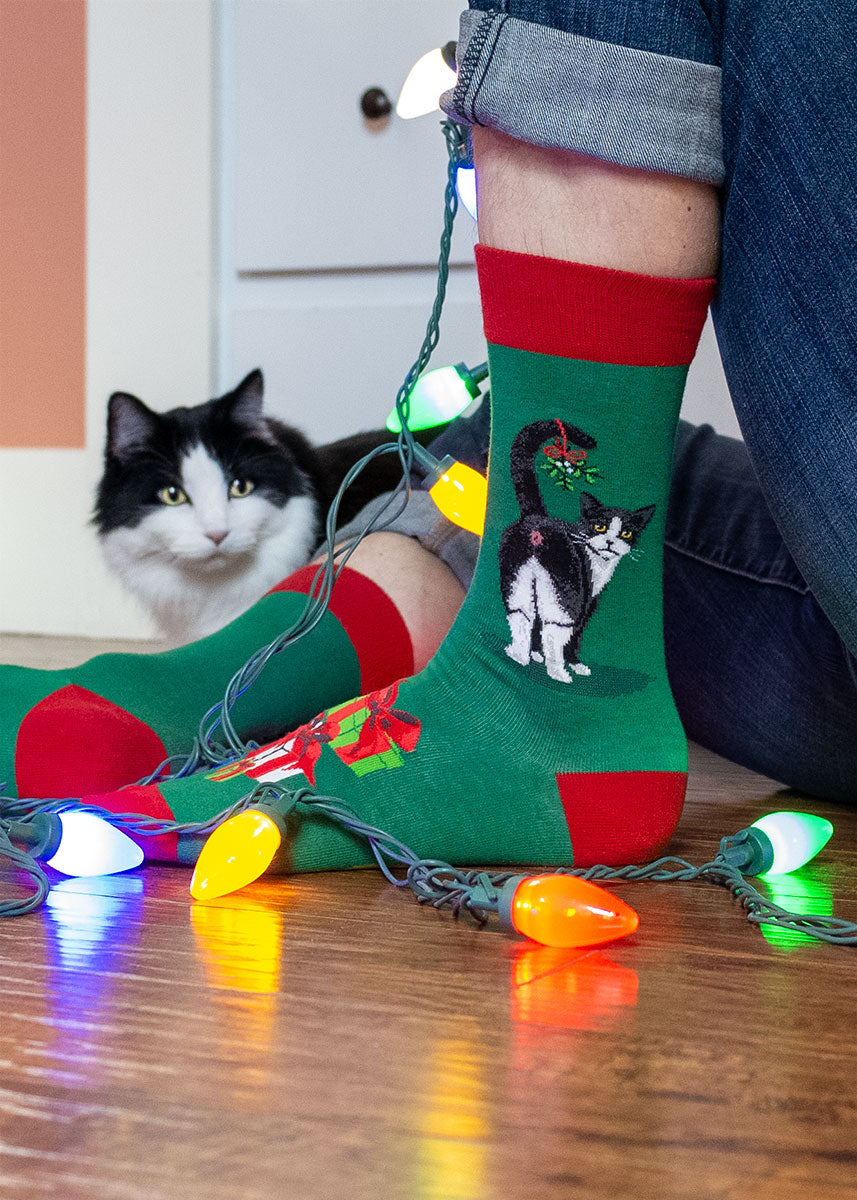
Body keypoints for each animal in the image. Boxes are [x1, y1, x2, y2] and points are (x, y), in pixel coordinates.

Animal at [494, 422, 652, 686]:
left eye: (627, 533)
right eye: (600, 527)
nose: (610, 541)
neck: (599, 563)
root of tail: (536, 519)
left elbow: (537, 622)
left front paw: (535, 654)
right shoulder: (587, 600)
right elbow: (575, 633)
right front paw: (575, 664)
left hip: (517, 578)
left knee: (522, 615)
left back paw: (519, 656)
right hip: (565, 590)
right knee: (554, 628)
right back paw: (558, 673)